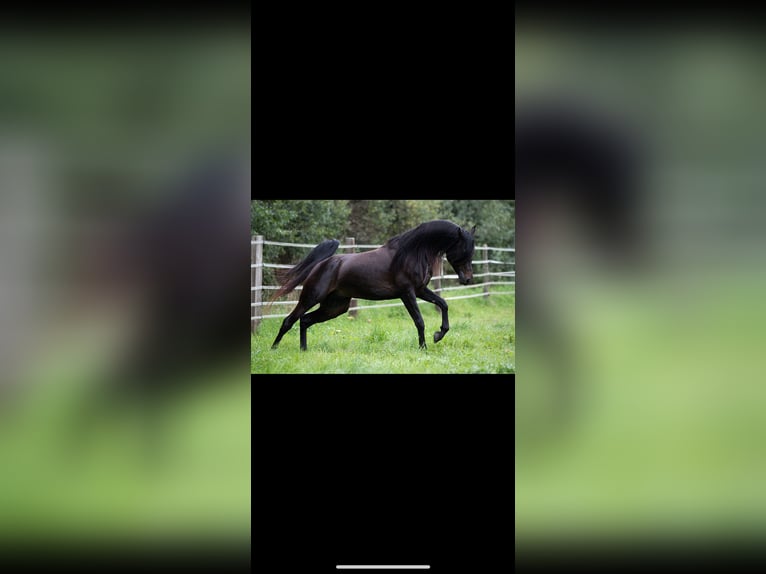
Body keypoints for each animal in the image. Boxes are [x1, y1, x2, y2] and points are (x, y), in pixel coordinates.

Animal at [269, 219, 476, 351]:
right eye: (464, 250)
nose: (467, 279)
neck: (412, 252)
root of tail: (322, 265)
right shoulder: (407, 292)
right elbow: (419, 320)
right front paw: (423, 347)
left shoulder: (420, 290)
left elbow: (443, 304)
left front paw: (438, 335)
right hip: (311, 298)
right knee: (289, 321)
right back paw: (274, 349)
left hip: (335, 307)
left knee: (305, 320)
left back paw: (304, 350)